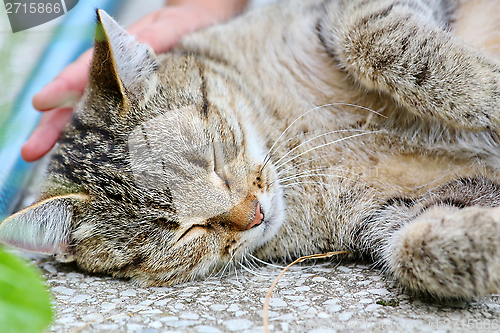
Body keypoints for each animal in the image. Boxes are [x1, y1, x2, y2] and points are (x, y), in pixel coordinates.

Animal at [0, 0, 500, 298]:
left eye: (213, 158)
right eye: (185, 232)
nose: (255, 214)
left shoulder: (338, 12)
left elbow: (375, 40)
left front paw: (486, 92)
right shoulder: (387, 217)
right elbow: (419, 252)